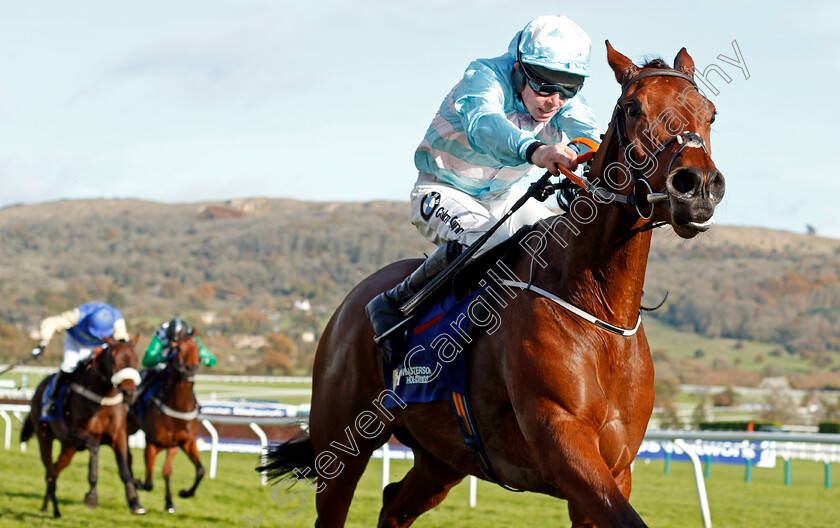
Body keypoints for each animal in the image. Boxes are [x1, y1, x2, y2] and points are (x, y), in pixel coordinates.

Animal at [21, 336, 146, 516]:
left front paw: (135, 502)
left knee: (56, 470)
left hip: (68, 447)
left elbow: (125, 469)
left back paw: (48, 507)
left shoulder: (119, 436)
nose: (129, 393)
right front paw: (92, 496)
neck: (102, 399)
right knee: (50, 471)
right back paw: (54, 510)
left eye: (135, 360)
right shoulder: (79, 435)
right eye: (114, 360)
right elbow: (94, 448)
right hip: (45, 435)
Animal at [129, 334, 206, 512]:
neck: (177, 405)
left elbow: (196, 471)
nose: (190, 370)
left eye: (198, 348)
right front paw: (137, 482)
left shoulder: (181, 442)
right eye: (178, 348)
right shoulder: (152, 443)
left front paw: (179, 496)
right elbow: (149, 482)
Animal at [266, 42, 724, 528]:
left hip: (442, 458)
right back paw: (386, 309)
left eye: (710, 113)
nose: (697, 186)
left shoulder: (617, 468)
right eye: (633, 108)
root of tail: (351, 305)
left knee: (393, 504)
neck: (598, 310)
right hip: (342, 441)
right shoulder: (563, 441)